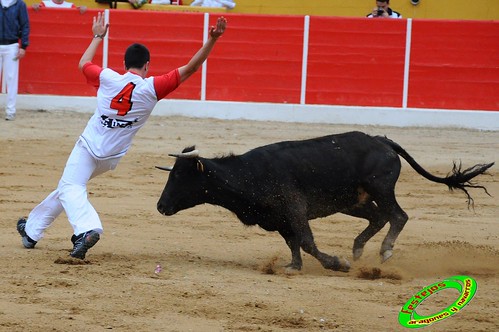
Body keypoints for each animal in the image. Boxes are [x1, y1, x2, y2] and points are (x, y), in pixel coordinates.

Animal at [158, 131, 494, 272]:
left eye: (180, 176)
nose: (161, 206)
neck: (249, 173)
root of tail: (381, 140)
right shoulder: (281, 219)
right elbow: (293, 243)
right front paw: (293, 266)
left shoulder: (294, 207)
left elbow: (306, 241)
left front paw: (335, 263)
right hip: (353, 201)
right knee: (379, 217)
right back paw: (358, 250)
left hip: (381, 188)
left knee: (398, 216)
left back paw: (382, 252)